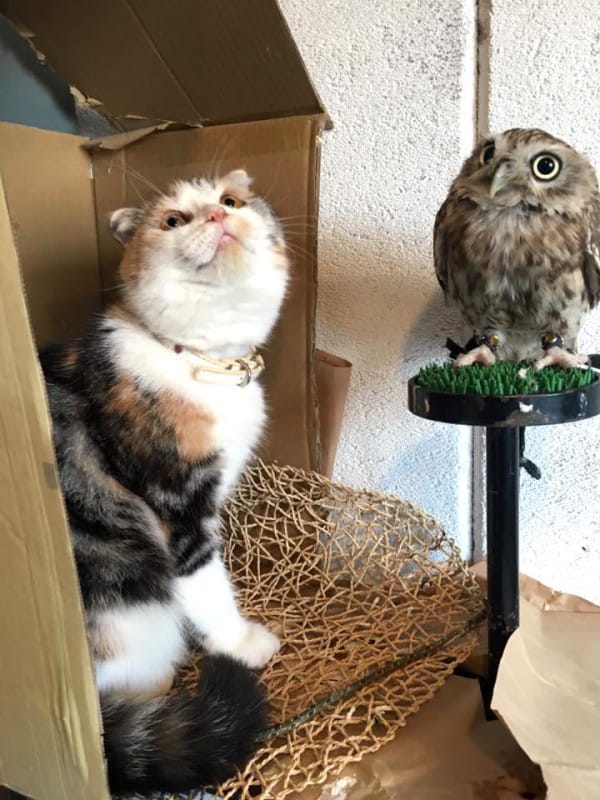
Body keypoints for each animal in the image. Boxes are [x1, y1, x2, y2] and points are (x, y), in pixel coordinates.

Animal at [39, 170, 288, 792]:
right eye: (173, 220)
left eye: (231, 200)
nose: (218, 217)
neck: (204, 363)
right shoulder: (177, 505)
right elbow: (207, 584)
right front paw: (242, 643)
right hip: (131, 604)